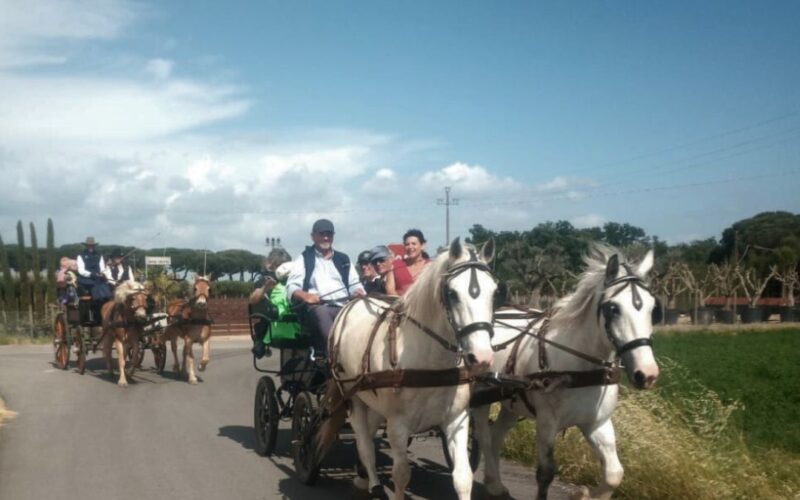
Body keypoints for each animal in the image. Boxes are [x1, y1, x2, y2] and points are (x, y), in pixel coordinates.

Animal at [318, 239, 494, 500]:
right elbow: (401, 475)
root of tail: (353, 301)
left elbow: (463, 478)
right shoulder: (398, 425)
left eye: (495, 292)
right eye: (452, 294)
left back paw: (362, 477)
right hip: (353, 396)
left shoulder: (456, 420)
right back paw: (373, 484)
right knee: (364, 443)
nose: (482, 357)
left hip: (374, 402)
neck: (431, 366)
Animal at [476, 246, 664, 500]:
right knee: (483, 437)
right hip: (480, 396)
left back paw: (494, 484)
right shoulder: (547, 421)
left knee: (495, 436)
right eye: (613, 308)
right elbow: (545, 473)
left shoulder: (597, 423)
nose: (647, 374)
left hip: (511, 403)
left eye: (653, 309)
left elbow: (614, 474)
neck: (580, 369)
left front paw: (584, 494)